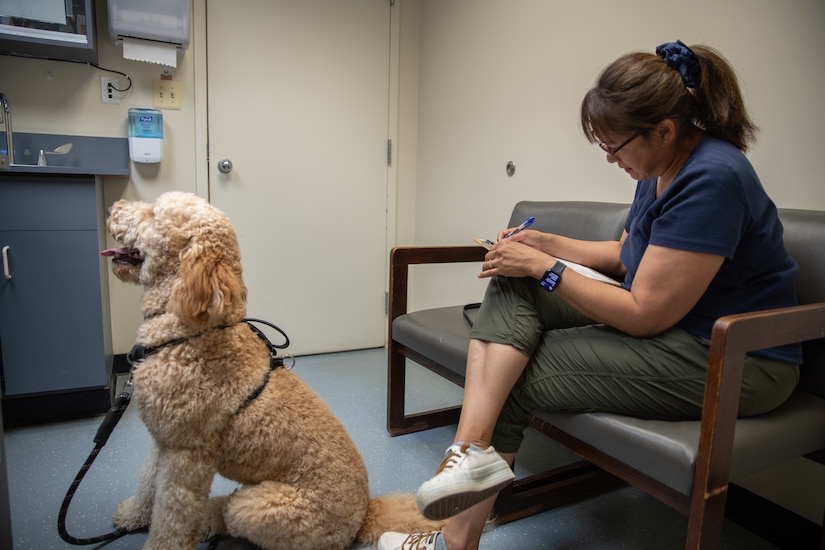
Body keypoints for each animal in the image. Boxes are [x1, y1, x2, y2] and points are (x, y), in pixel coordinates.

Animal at [102, 191, 444, 550]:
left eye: (154, 213)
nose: (110, 208)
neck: (191, 331)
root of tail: (365, 514)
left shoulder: (186, 457)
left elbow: (172, 518)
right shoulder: (163, 440)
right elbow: (147, 485)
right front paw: (134, 516)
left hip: (258, 507)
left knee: (232, 513)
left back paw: (209, 522)